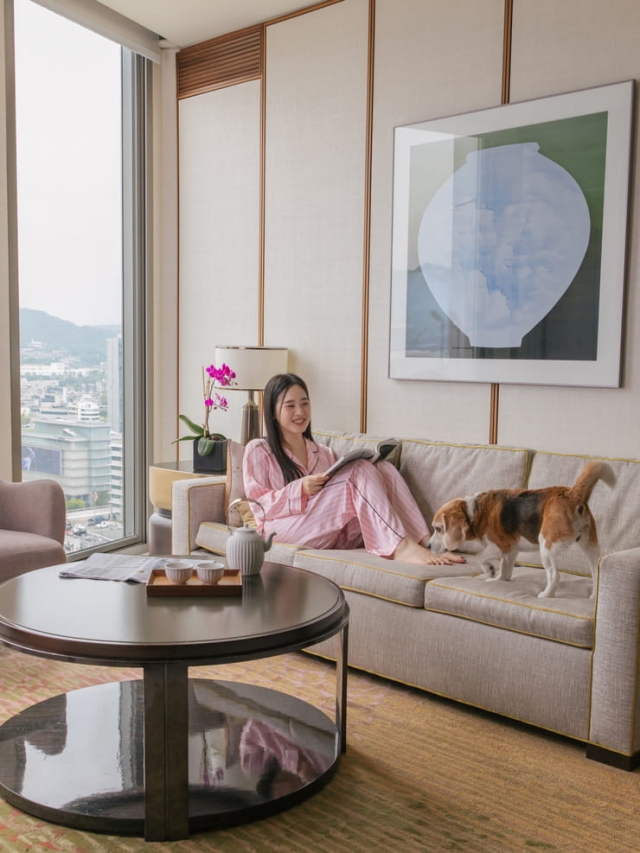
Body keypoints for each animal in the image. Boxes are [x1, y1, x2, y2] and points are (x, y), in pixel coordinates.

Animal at [430, 460, 616, 600]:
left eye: (438, 529)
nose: (429, 546)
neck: (474, 511)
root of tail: (571, 493)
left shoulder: (501, 546)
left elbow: (480, 555)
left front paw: (490, 571)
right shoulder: (511, 551)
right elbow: (505, 568)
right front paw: (499, 579)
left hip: (546, 546)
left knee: (554, 575)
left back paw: (546, 595)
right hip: (590, 546)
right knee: (596, 573)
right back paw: (593, 597)